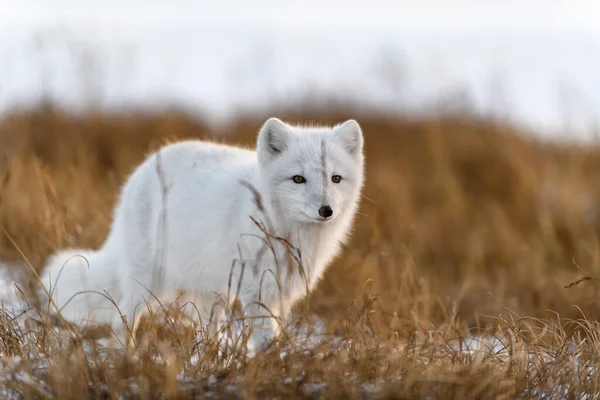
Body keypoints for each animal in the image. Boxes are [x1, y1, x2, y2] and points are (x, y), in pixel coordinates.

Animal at [39, 117, 366, 348]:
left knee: (205, 327)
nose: (326, 210)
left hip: (211, 290)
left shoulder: (281, 291)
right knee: (124, 319)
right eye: (298, 179)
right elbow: (264, 338)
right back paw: (127, 360)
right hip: (149, 280)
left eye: (335, 179)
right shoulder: (257, 289)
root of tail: (142, 169)